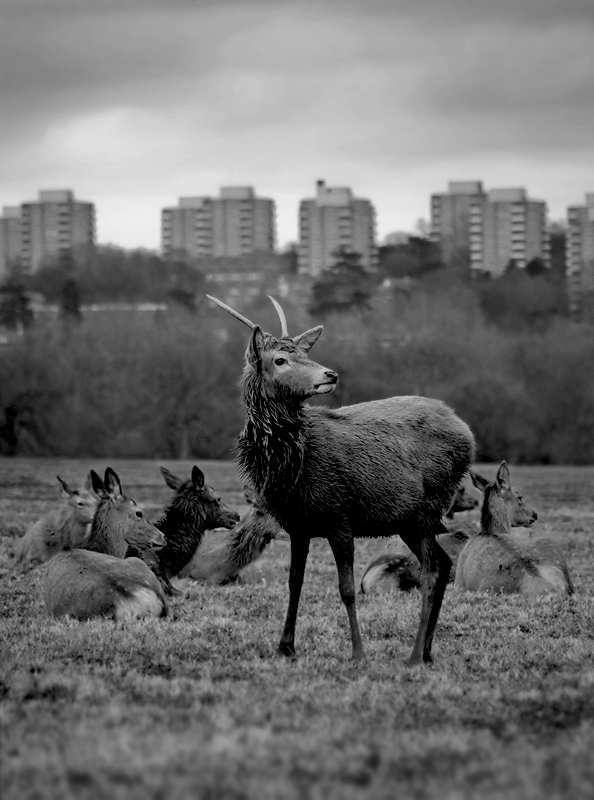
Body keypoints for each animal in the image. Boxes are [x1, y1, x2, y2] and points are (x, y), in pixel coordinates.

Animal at [206, 294, 474, 664]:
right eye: (280, 359)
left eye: (304, 353)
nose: (330, 374)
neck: (292, 468)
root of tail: (468, 434)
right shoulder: (298, 525)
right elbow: (294, 582)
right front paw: (285, 647)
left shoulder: (339, 516)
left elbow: (346, 589)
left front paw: (358, 653)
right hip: (408, 519)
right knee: (444, 563)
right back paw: (429, 651)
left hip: (428, 509)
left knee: (431, 573)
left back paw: (415, 654)